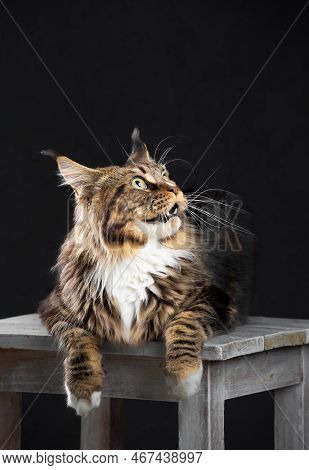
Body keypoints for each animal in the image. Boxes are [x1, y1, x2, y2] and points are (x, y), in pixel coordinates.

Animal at [38, 129, 251, 414]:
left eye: (165, 173)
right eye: (138, 183)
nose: (175, 188)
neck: (132, 255)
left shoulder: (215, 298)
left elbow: (184, 322)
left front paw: (183, 375)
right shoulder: (58, 306)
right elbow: (78, 339)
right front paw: (83, 390)